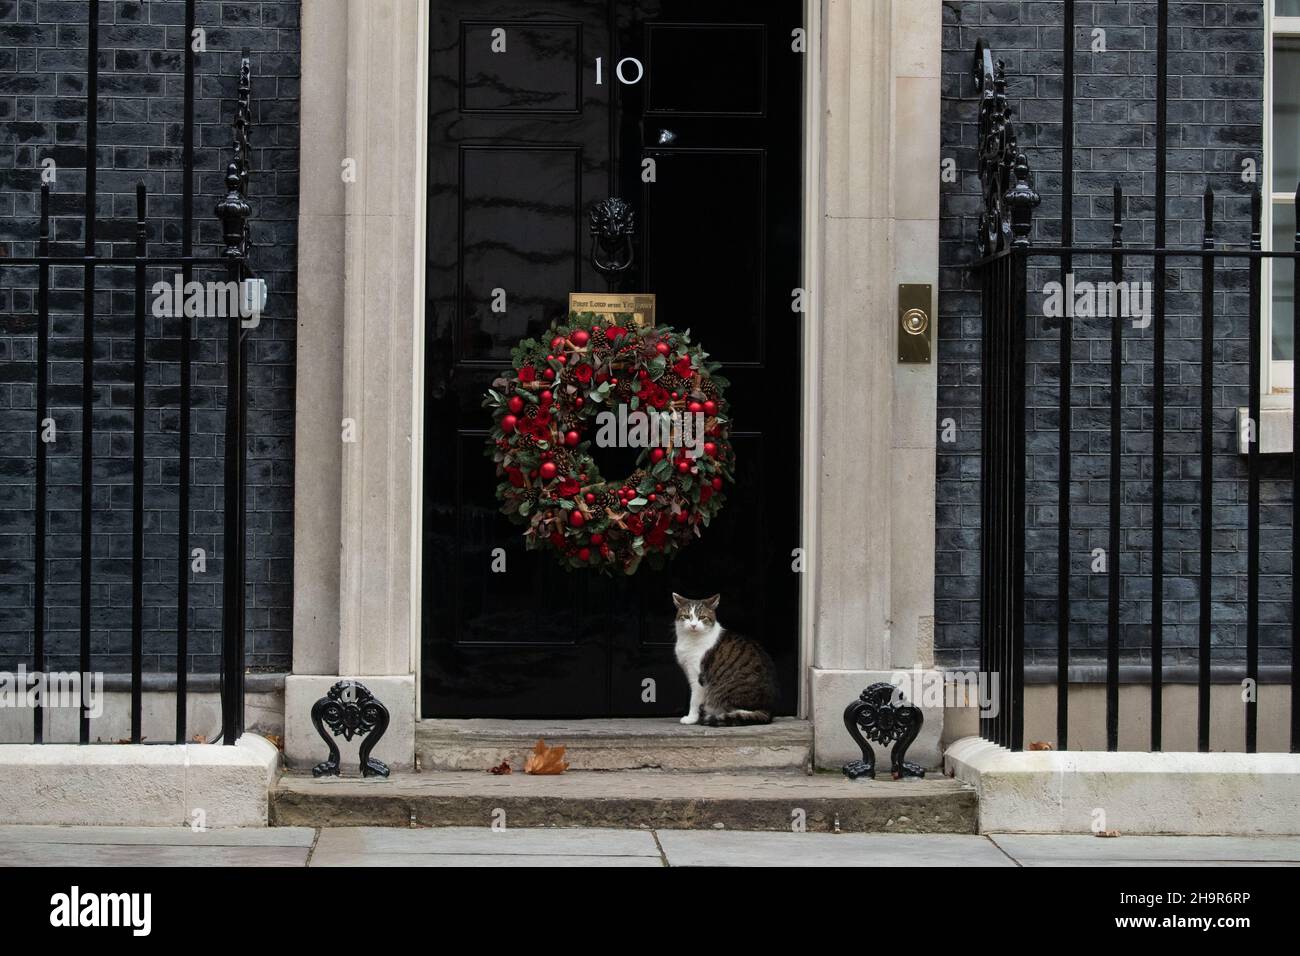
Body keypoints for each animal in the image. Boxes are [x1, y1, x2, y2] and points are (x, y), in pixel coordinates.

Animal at [676, 590, 774, 723]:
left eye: (702, 617)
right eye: (686, 616)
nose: (693, 625)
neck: (690, 639)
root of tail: (767, 708)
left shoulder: (698, 677)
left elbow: (694, 700)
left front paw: (691, 718)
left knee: (744, 712)